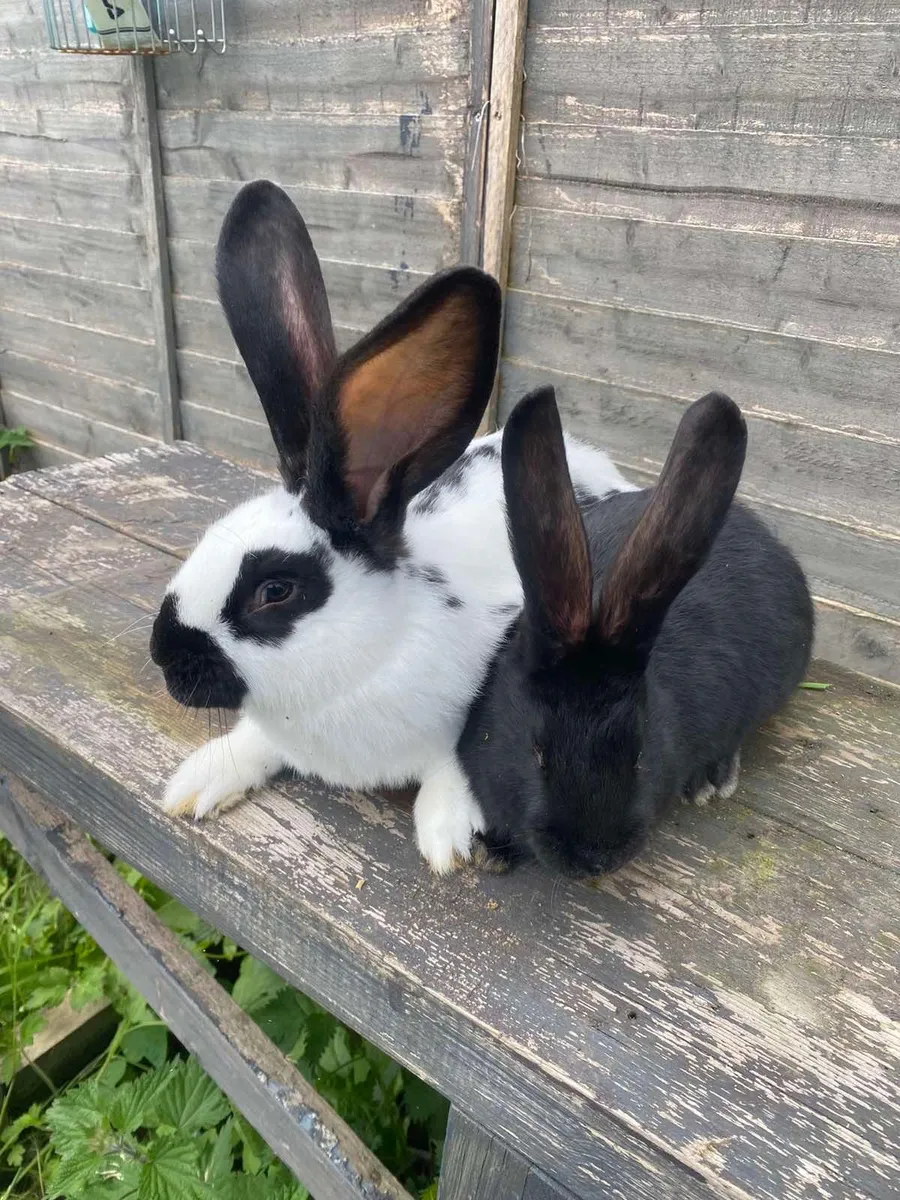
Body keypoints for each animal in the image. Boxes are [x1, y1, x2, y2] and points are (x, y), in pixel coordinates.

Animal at [149, 180, 637, 874]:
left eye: (275, 591)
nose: (163, 654)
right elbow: (253, 743)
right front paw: (199, 781)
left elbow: (461, 760)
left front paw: (445, 836)